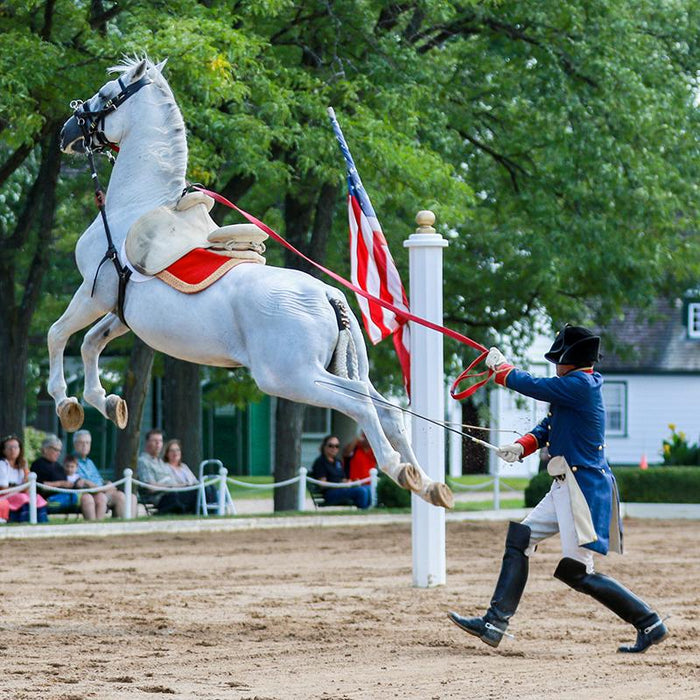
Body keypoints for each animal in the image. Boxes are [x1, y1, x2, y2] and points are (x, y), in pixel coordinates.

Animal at [50, 57, 454, 508]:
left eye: (107, 94)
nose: (67, 131)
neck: (133, 208)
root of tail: (329, 295)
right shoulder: (121, 313)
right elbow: (90, 344)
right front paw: (106, 402)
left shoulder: (94, 293)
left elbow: (58, 334)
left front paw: (66, 402)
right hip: (344, 371)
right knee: (389, 412)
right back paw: (426, 482)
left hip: (294, 377)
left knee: (362, 408)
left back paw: (399, 469)